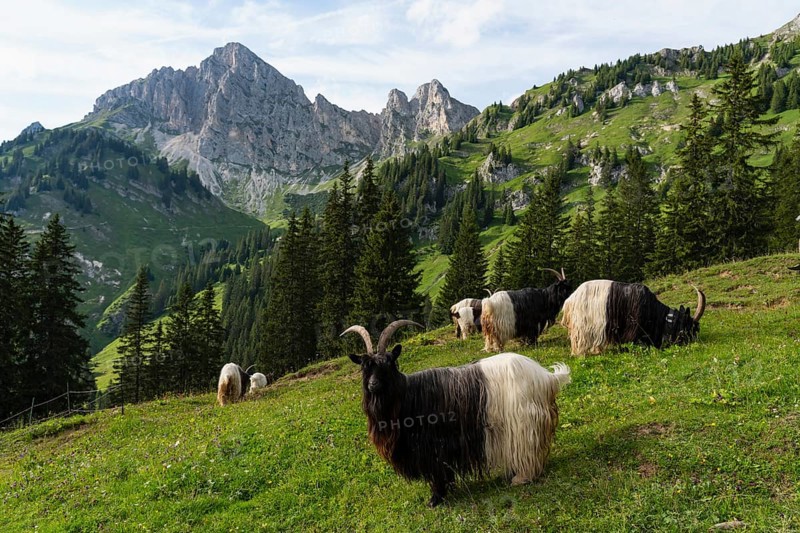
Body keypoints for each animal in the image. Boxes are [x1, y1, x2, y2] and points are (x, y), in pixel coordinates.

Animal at [342, 320, 571, 507]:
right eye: (365, 367)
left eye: (389, 364)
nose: (373, 385)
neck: (407, 396)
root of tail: (545, 377)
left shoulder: (433, 447)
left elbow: (437, 473)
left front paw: (436, 499)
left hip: (522, 422)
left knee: (528, 449)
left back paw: (521, 478)